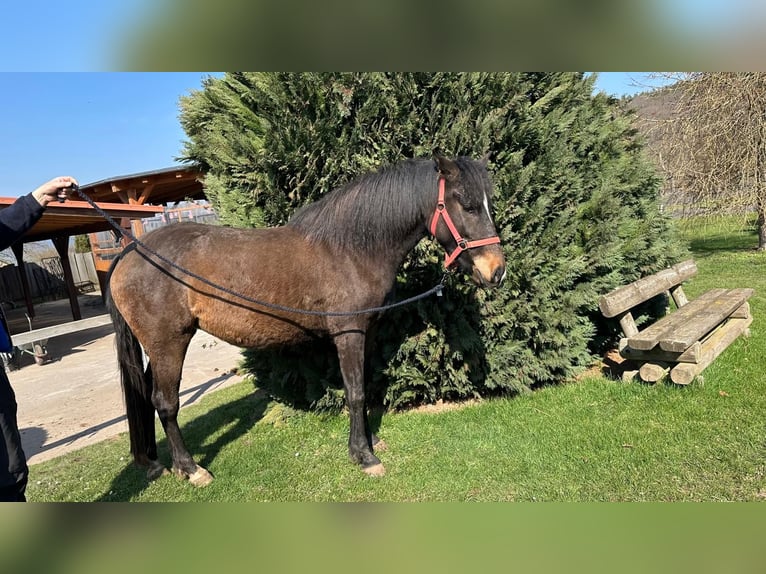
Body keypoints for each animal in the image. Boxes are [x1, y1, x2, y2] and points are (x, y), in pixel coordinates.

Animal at [106, 154, 506, 486]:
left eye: (488, 202)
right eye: (467, 204)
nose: (496, 271)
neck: (351, 249)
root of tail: (130, 251)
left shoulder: (367, 333)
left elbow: (364, 387)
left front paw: (370, 440)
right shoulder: (349, 333)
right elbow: (356, 392)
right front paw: (363, 456)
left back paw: (160, 463)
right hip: (169, 343)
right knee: (166, 403)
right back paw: (191, 469)